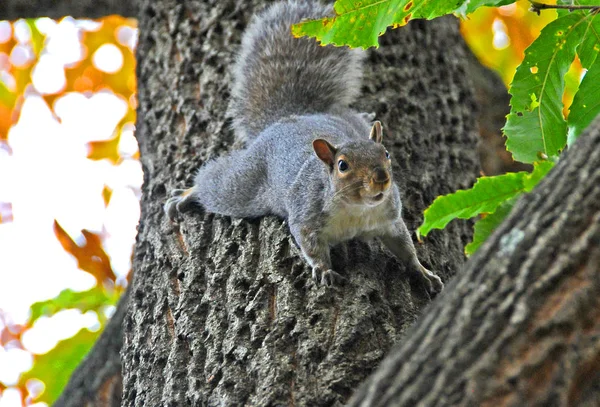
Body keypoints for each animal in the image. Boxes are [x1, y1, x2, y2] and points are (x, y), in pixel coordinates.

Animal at [162, 0, 442, 294]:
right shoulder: (306, 214)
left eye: (386, 154)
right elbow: (310, 245)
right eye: (342, 165)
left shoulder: (389, 218)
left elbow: (405, 247)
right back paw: (186, 195)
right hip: (242, 183)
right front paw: (325, 270)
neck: (357, 209)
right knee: (216, 184)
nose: (381, 178)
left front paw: (422, 272)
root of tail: (292, 116)